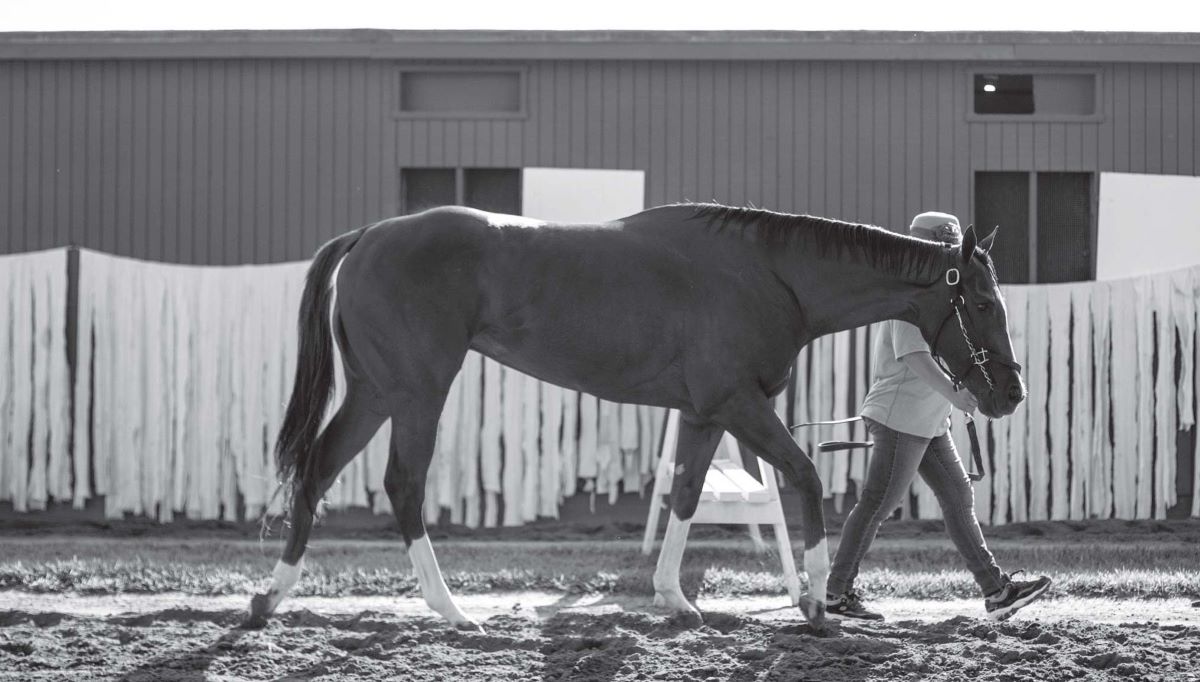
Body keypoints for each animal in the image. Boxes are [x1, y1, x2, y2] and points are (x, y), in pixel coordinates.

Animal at [241, 202, 1022, 633]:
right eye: (983, 302)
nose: (1009, 395)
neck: (770, 274)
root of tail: (369, 234)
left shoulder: (707, 412)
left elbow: (685, 495)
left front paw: (677, 601)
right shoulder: (739, 403)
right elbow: (803, 477)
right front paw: (816, 606)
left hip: (376, 392)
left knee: (317, 471)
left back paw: (269, 600)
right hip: (416, 392)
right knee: (402, 486)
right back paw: (454, 612)